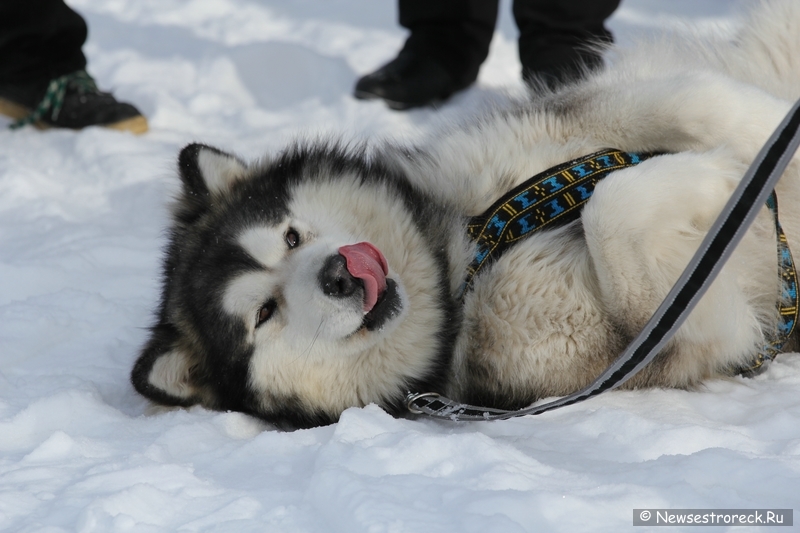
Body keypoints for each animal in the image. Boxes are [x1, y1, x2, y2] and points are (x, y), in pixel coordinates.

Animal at [133, 0, 800, 424]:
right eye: (263, 315)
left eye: (291, 236)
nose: (340, 274)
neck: (464, 260)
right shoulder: (681, 336)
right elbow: (612, 210)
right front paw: (716, 177)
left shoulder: (577, 117)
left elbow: (693, 99)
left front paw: (767, 128)